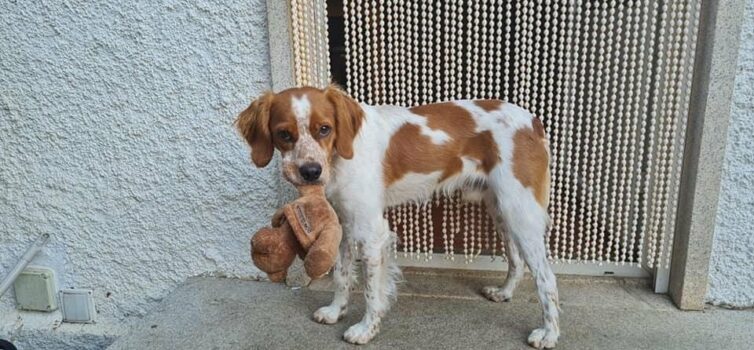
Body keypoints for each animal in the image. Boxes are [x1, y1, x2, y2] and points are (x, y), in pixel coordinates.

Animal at [235, 85, 560, 350]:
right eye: (284, 134)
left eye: (324, 129)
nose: (310, 172)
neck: (340, 156)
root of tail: (532, 121)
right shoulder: (344, 225)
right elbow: (341, 275)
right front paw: (335, 310)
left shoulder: (372, 231)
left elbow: (370, 289)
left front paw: (366, 329)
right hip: (501, 208)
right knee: (516, 259)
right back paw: (504, 293)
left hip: (520, 209)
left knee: (546, 277)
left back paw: (549, 334)